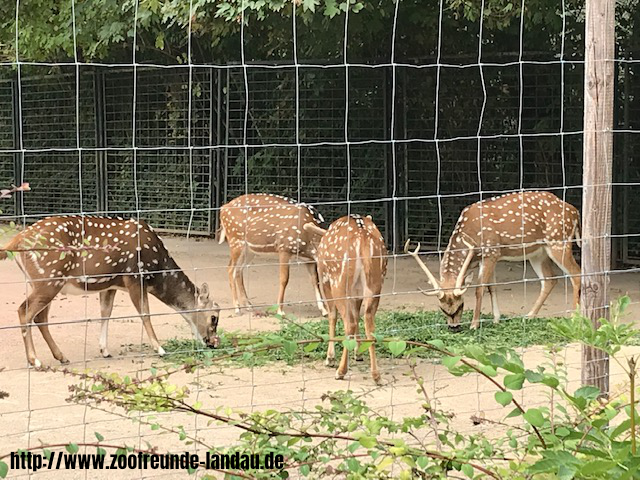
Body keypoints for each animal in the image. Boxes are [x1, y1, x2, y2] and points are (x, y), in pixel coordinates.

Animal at [0, 216, 220, 366]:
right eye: (214, 317)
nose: (212, 343)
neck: (157, 271)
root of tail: (16, 241)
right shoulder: (134, 276)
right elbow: (145, 314)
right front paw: (160, 348)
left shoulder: (110, 285)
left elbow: (106, 313)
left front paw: (104, 350)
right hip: (49, 278)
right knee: (24, 311)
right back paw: (35, 360)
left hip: (44, 282)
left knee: (40, 316)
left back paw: (61, 356)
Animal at [304, 214, 388, 382]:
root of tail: (362, 238)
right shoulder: (357, 293)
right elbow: (356, 315)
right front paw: (358, 352)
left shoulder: (325, 280)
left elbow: (332, 316)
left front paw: (329, 358)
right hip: (375, 284)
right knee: (368, 322)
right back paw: (376, 376)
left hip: (339, 282)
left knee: (349, 323)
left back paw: (340, 371)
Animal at [408, 191, 584, 330]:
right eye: (442, 308)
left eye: (460, 305)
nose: (454, 327)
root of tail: (575, 212)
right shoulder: (488, 257)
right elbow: (492, 286)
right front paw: (496, 319)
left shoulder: (490, 251)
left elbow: (480, 288)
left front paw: (474, 324)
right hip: (538, 253)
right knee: (549, 279)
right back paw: (529, 315)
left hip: (559, 241)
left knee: (576, 274)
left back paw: (575, 317)